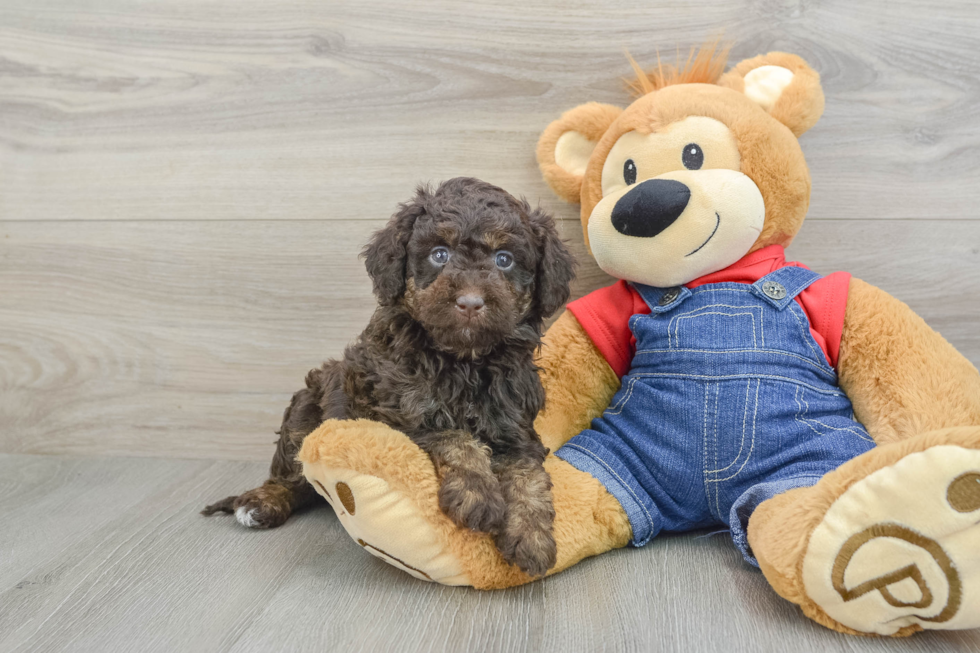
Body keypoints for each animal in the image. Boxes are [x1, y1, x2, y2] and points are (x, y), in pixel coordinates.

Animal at [205, 176, 576, 572]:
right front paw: (477, 493)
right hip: (305, 410)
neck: (464, 361)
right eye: (439, 254)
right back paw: (261, 502)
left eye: (504, 259)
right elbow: (454, 436)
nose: (471, 302)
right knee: (291, 473)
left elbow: (527, 473)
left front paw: (532, 537)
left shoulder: (515, 424)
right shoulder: (397, 412)